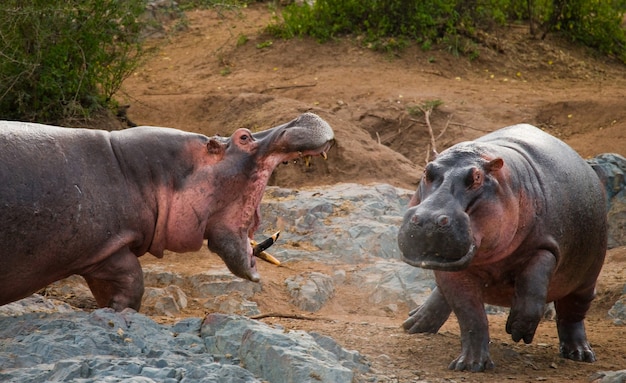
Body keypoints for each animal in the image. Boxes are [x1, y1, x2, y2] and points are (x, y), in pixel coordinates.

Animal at [0, 111, 334, 312]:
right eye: (244, 136)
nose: (302, 116)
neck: (127, 169)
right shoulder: (106, 249)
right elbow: (133, 282)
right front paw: (117, 313)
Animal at [394, 124, 604, 374]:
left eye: (476, 177)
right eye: (427, 172)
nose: (428, 220)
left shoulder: (546, 246)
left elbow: (533, 288)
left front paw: (519, 330)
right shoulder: (451, 270)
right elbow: (470, 316)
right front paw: (470, 365)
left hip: (587, 279)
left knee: (572, 314)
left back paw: (580, 354)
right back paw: (414, 324)